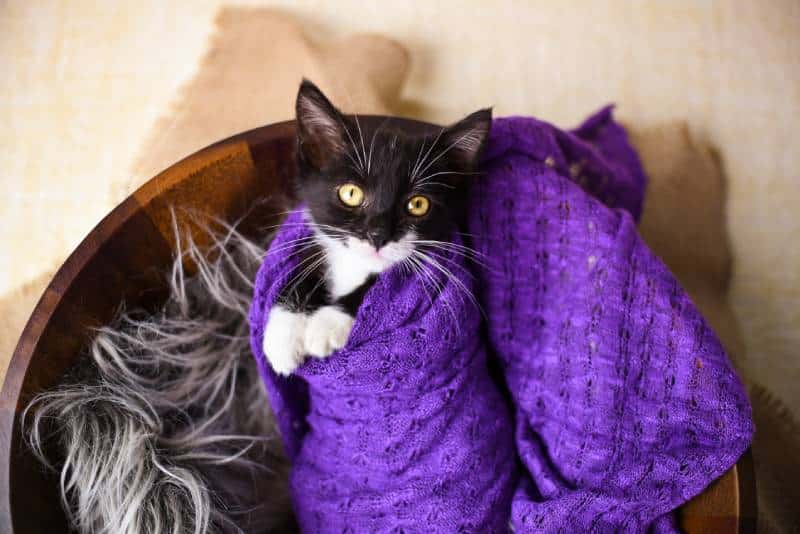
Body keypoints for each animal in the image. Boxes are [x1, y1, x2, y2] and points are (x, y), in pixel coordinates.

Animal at [262, 81, 490, 376]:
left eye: (418, 204)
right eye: (351, 193)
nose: (378, 235)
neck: (355, 267)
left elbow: (378, 291)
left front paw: (326, 325)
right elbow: (306, 265)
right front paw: (283, 333)